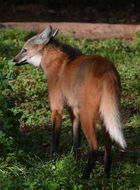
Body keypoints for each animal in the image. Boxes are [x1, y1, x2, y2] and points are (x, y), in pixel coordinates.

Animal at [13, 24, 127, 178]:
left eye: (24, 50)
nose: (14, 60)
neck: (56, 62)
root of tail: (107, 67)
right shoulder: (74, 112)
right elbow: (76, 142)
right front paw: (74, 163)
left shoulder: (57, 109)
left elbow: (54, 140)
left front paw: (52, 163)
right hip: (104, 117)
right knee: (109, 150)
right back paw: (106, 177)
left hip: (88, 117)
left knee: (95, 149)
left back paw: (84, 178)